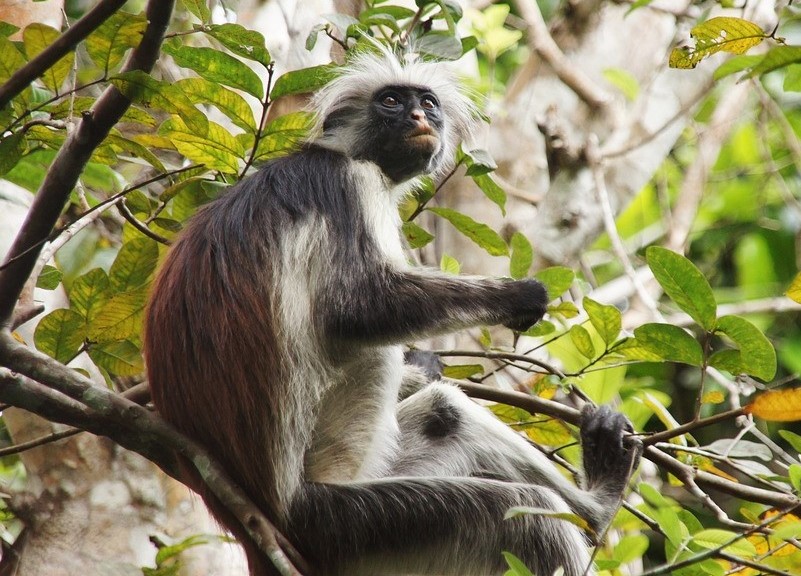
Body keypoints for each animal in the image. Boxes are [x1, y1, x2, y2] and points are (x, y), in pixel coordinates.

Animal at [147, 47, 640, 572]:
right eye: (390, 101)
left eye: (427, 102)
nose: (421, 118)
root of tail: (256, 524)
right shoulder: (348, 183)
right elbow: (359, 309)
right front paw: (519, 297)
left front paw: (422, 365)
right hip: (343, 518)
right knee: (523, 510)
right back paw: (597, 507)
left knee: (446, 413)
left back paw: (594, 507)